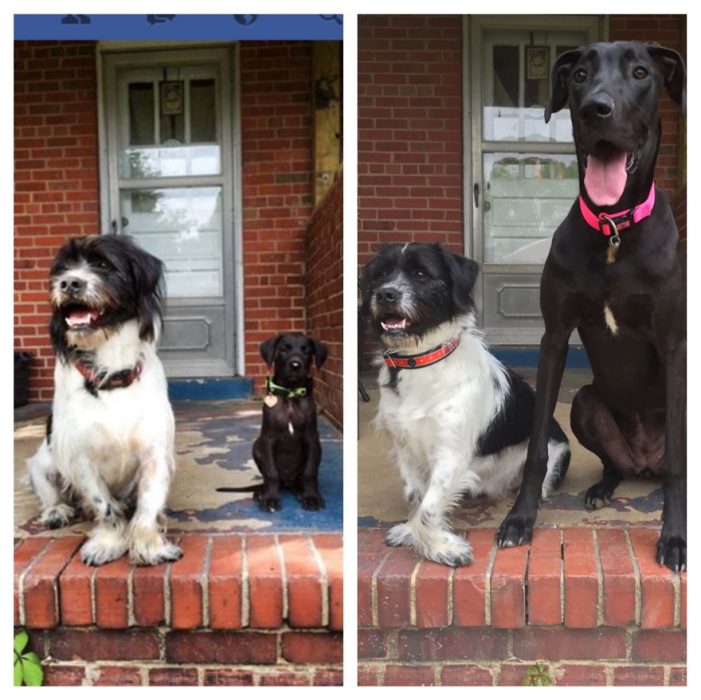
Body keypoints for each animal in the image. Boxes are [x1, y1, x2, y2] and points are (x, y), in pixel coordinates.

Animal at [27, 238, 182, 568]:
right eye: (62, 269)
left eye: (103, 265)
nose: (69, 283)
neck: (112, 372)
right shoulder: (79, 458)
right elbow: (103, 504)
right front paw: (109, 543)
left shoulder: (155, 453)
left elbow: (148, 504)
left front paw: (149, 546)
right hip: (42, 464)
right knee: (49, 492)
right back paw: (56, 512)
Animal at [219, 330, 328, 512]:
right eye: (283, 349)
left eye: (306, 351)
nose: (296, 365)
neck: (290, 394)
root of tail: (287, 483)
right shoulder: (268, 439)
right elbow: (271, 473)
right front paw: (270, 498)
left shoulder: (312, 438)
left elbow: (310, 472)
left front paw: (311, 496)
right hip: (257, 446)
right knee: (270, 478)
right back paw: (262, 492)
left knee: (300, 478)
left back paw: (300, 491)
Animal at [360, 243, 568, 568]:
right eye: (379, 275)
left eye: (421, 274)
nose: (385, 294)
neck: (420, 361)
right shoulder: (403, 447)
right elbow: (416, 498)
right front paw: (411, 532)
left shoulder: (451, 454)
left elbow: (429, 508)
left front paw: (444, 549)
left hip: (553, 460)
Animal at [494, 41, 688, 572]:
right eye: (579, 75)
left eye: (640, 73)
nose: (595, 109)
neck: (612, 231)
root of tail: (645, 462)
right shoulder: (554, 337)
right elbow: (536, 447)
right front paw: (520, 519)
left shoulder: (673, 342)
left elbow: (680, 462)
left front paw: (675, 537)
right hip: (585, 403)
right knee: (614, 462)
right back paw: (604, 486)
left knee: (671, 464)